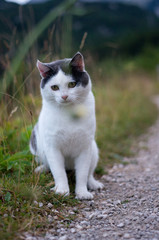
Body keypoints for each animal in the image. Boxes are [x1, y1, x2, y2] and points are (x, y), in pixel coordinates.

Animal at [29, 53, 103, 201]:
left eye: (72, 84)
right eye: (54, 87)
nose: (64, 96)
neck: (70, 113)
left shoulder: (84, 147)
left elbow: (82, 173)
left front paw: (82, 192)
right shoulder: (53, 148)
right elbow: (59, 172)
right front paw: (62, 191)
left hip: (93, 149)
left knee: (89, 173)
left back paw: (93, 184)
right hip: (37, 147)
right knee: (48, 165)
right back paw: (41, 169)